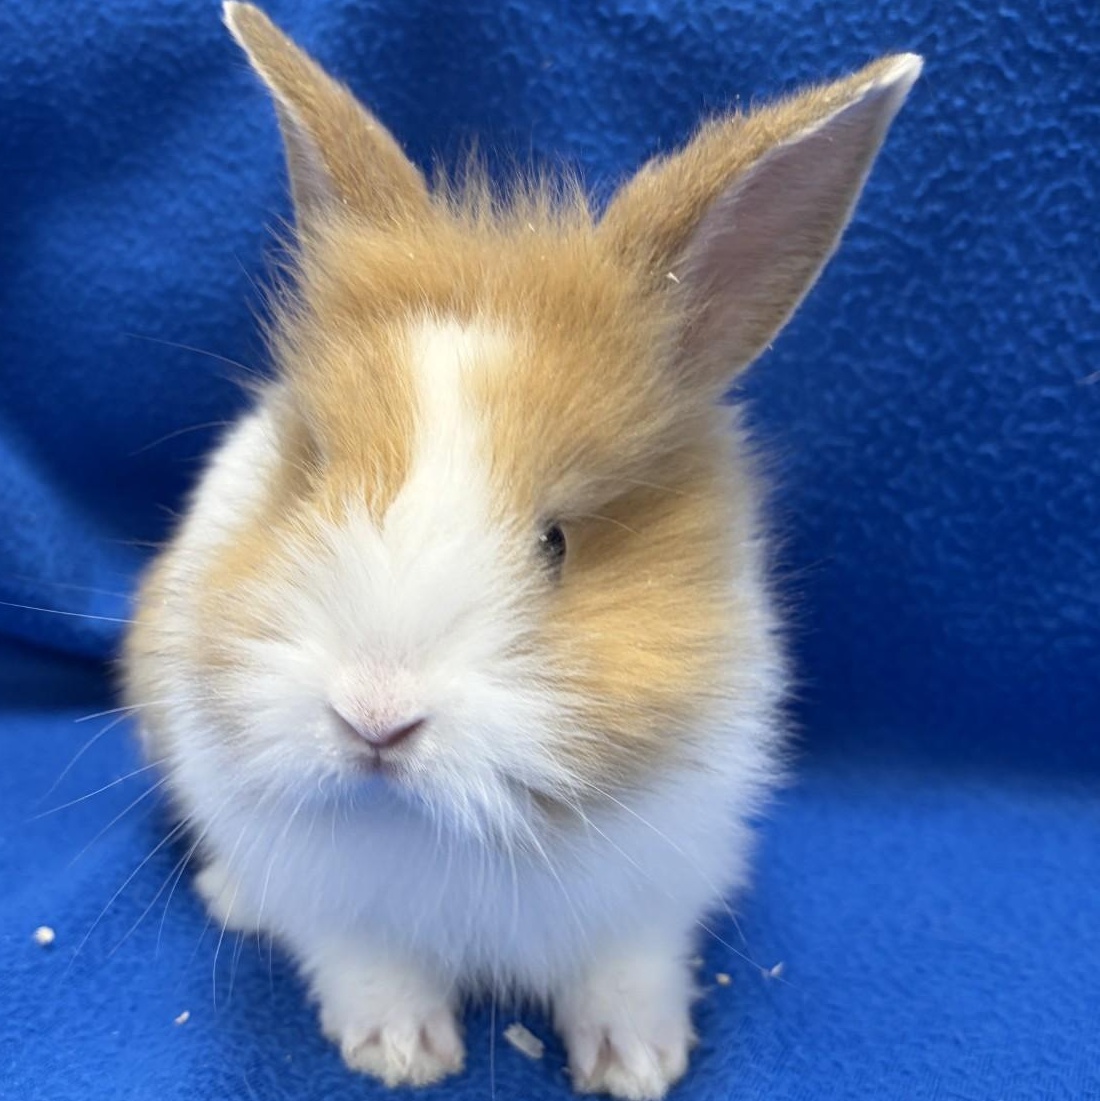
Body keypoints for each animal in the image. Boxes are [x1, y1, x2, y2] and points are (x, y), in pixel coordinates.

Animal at [123, 4, 920, 1098]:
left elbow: (627, 971)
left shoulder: (654, 893)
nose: (374, 719)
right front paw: (402, 1053)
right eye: (313, 481)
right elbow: (363, 965)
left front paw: (639, 1063)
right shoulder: (335, 912)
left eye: (555, 543)